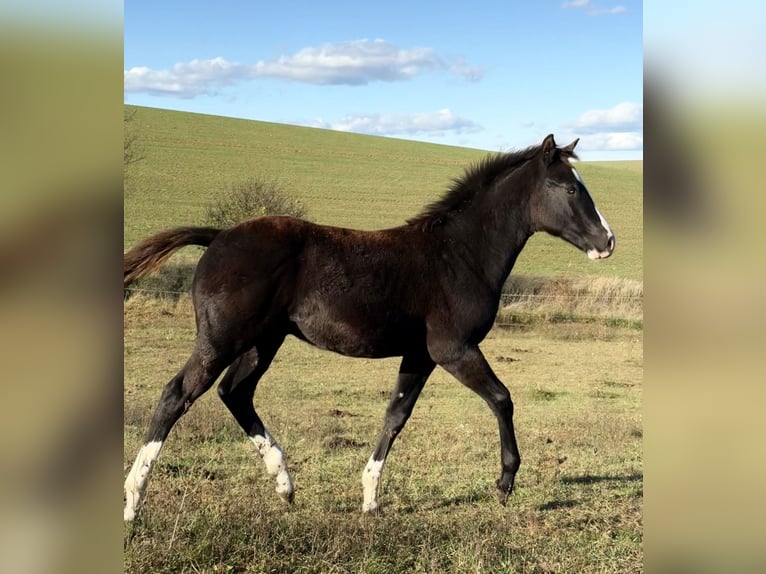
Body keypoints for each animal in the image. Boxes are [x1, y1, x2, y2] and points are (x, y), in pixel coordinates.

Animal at [123, 134, 614, 521]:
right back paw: (134, 498)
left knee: (235, 392)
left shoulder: (420, 354)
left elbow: (396, 415)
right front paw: (505, 482)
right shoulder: (454, 349)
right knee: (177, 394)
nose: (607, 241)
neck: (457, 254)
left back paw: (284, 484)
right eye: (570, 188)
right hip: (223, 339)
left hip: (264, 341)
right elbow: (501, 399)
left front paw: (370, 497)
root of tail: (218, 235)